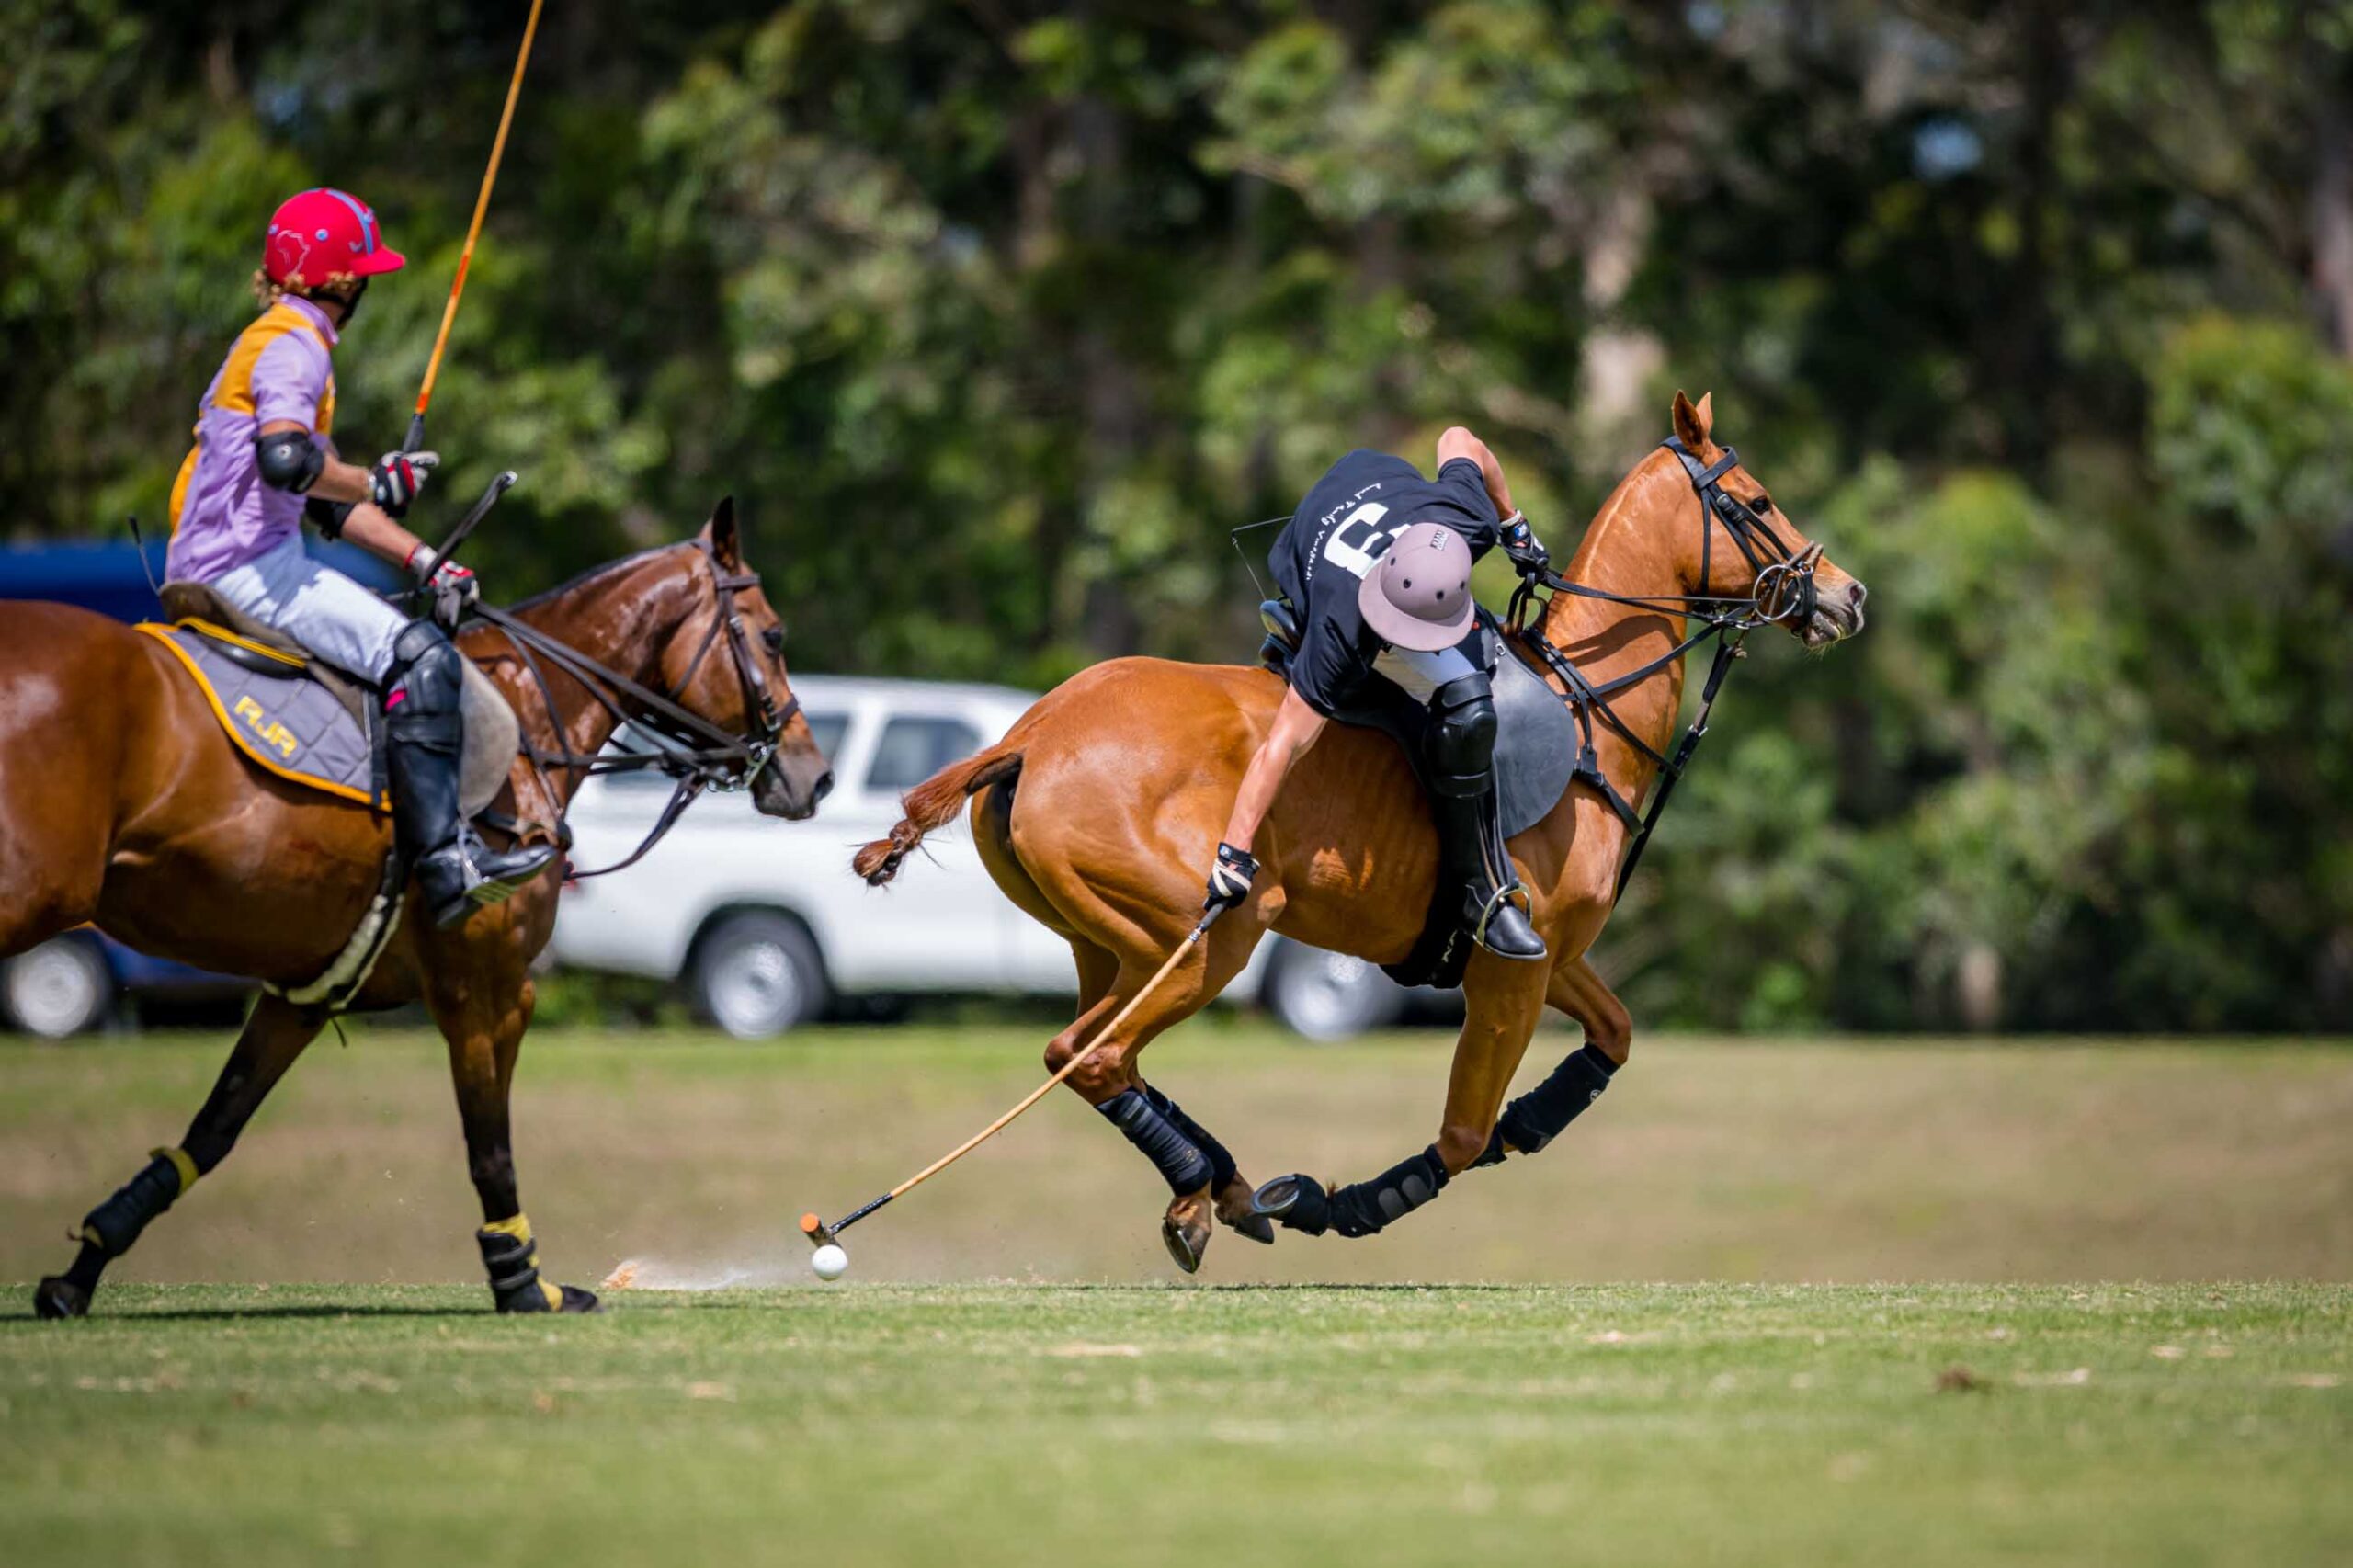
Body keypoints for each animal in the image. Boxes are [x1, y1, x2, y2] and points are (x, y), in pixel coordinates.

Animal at [1, 500, 833, 1317]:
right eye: (773, 633)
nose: (814, 776)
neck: (529, 719)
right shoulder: (487, 984)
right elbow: (488, 1143)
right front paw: (524, 1283)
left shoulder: (301, 995)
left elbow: (211, 1131)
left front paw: (80, 1272)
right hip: (35, 892)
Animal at [852, 393, 1867, 1268]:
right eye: (1756, 501)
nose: (1847, 594)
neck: (1586, 705)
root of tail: (1026, 737)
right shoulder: (1512, 962)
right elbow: (1462, 1133)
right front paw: (1340, 1204)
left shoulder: (1552, 954)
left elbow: (1609, 1039)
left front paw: (1521, 1126)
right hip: (1209, 936)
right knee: (1098, 1056)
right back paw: (1214, 1193)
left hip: (1111, 948)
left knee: (1079, 1053)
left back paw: (1222, 1188)